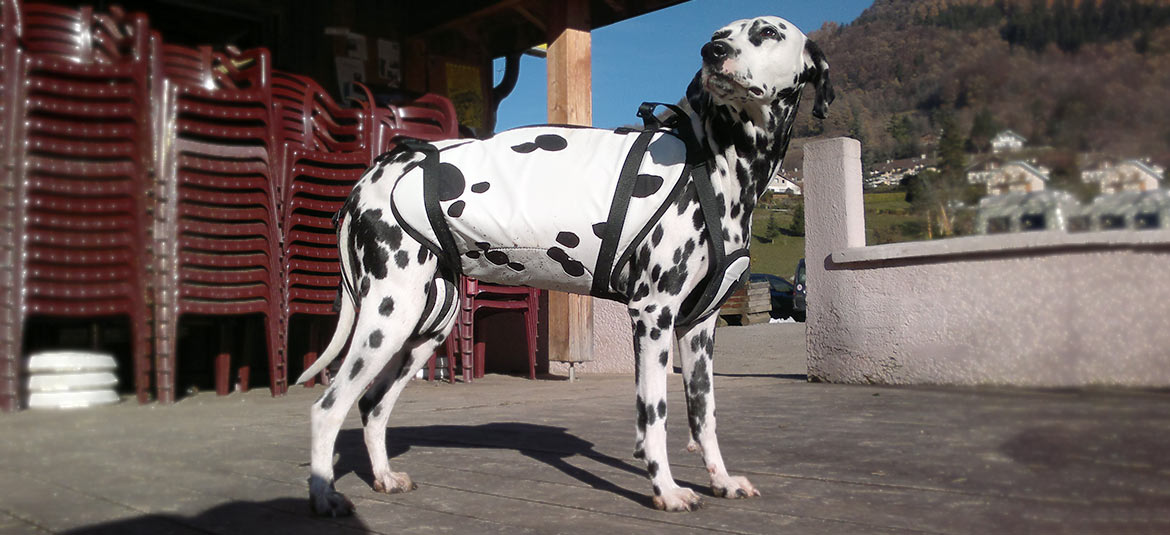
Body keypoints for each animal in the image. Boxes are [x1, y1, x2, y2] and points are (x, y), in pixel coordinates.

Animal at [301, 15, 833, 512]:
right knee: (328, 408)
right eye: (720, 34)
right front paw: (665, 489)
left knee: (372, 405)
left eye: (767, 32)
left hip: (424, 329)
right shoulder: (652, 317)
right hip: (387, 320)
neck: (716, 160)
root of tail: (376, 171)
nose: (712, 51)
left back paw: (383, 477)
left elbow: (704, 415)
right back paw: (324, 494)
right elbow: (654, 415)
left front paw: (721, 480)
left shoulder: (698, 330)